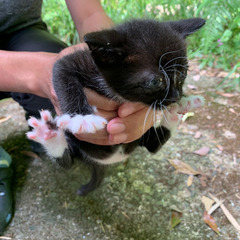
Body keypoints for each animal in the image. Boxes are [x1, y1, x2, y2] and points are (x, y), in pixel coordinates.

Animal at [27, 18, 205, 195]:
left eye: (182, 74)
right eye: (156, 82)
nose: (176, 96)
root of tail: (108, 159)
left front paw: (185, 100)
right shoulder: (73, 61)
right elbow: (63, 73)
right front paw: (81, 118)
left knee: (153, 145)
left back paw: (175, 113)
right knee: (67, 161)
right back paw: (48, 134)